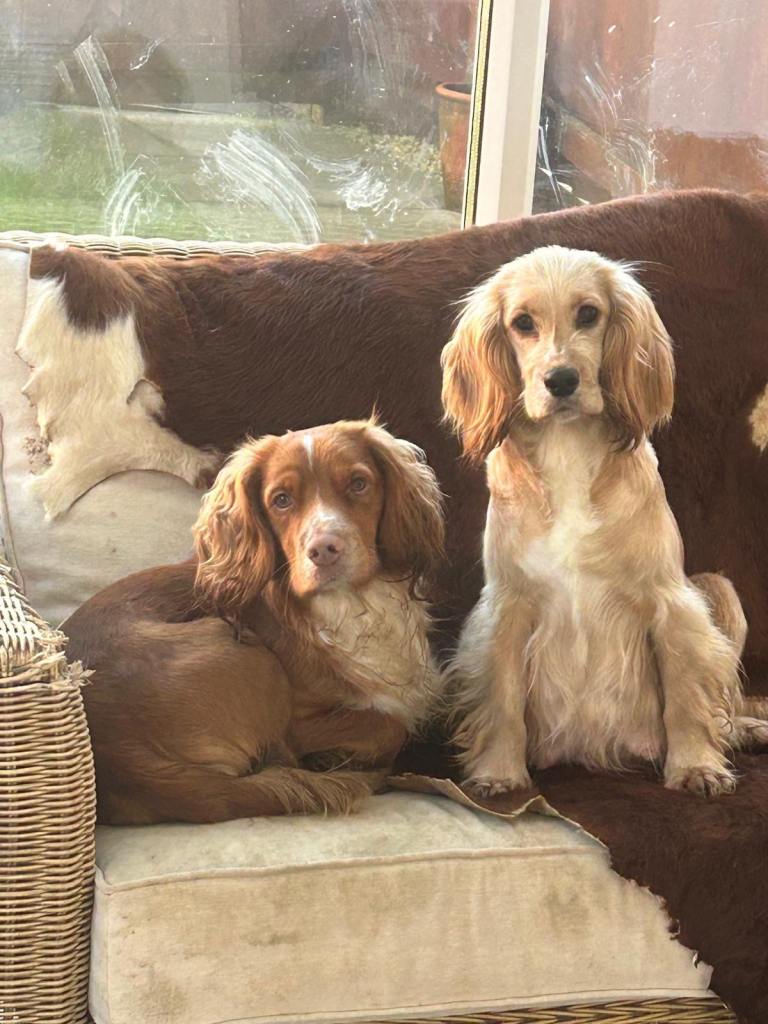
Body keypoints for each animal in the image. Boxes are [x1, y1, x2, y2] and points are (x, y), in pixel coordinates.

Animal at [63, 420, 445, 824]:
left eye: (358, 484)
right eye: (281, 500)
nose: (324, 550)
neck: (353, 605)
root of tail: (125, 766)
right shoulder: (304, 722)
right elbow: (389, 725)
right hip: (247, 652)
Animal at [441, 245, 767, 798]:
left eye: (589, 314)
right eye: (522, 323)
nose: (561, 381)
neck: (568, 449)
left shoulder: (671, 602)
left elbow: (687, 694)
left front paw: (695, 766)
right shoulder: (507, 607)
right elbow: (503, 699)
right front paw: (499, 772)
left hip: (717, 589)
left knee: (723, 707)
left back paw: (747, 730)